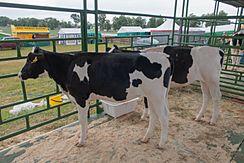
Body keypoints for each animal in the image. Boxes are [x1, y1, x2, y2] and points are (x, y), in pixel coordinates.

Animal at [19, 46, 173, 148]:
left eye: (32, 60)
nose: (20, 74)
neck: (67, 67)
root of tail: (165, 57)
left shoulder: (80, 98)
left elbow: (82, 121)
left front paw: (81, 141)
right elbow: (84, 122)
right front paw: (84, 137)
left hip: (157, 96)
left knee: (164, 117)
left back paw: (161, 143)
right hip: (152, 96)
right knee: (154, 116)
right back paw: (146, 138)